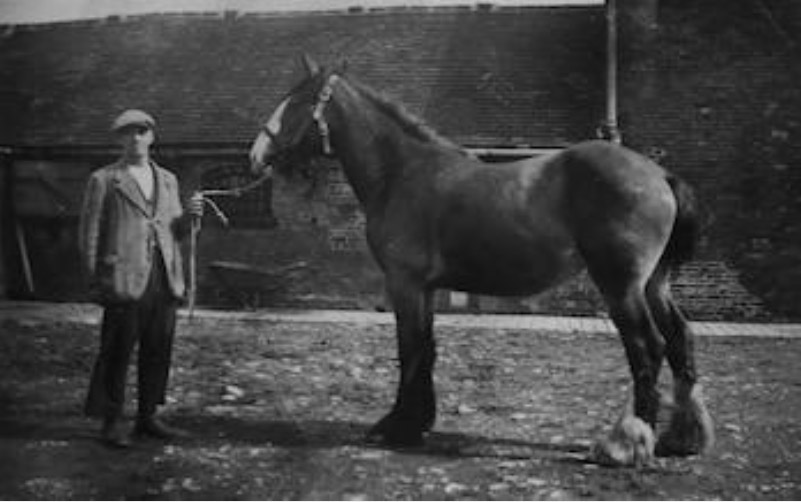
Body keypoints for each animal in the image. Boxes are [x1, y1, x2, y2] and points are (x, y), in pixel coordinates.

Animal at [248, 56, 712, 466]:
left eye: (297, 101)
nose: (256, 154)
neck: (402, 172)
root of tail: (659, 176)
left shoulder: (405, 283)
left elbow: (409, 349)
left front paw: (397, 426)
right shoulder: (426, 288)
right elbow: (426, 350)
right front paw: (417, 422)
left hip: (620, 285)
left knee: (647, 348)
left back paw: (624, 445)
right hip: (654, 285)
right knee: (680, 340)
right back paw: (681, 439)